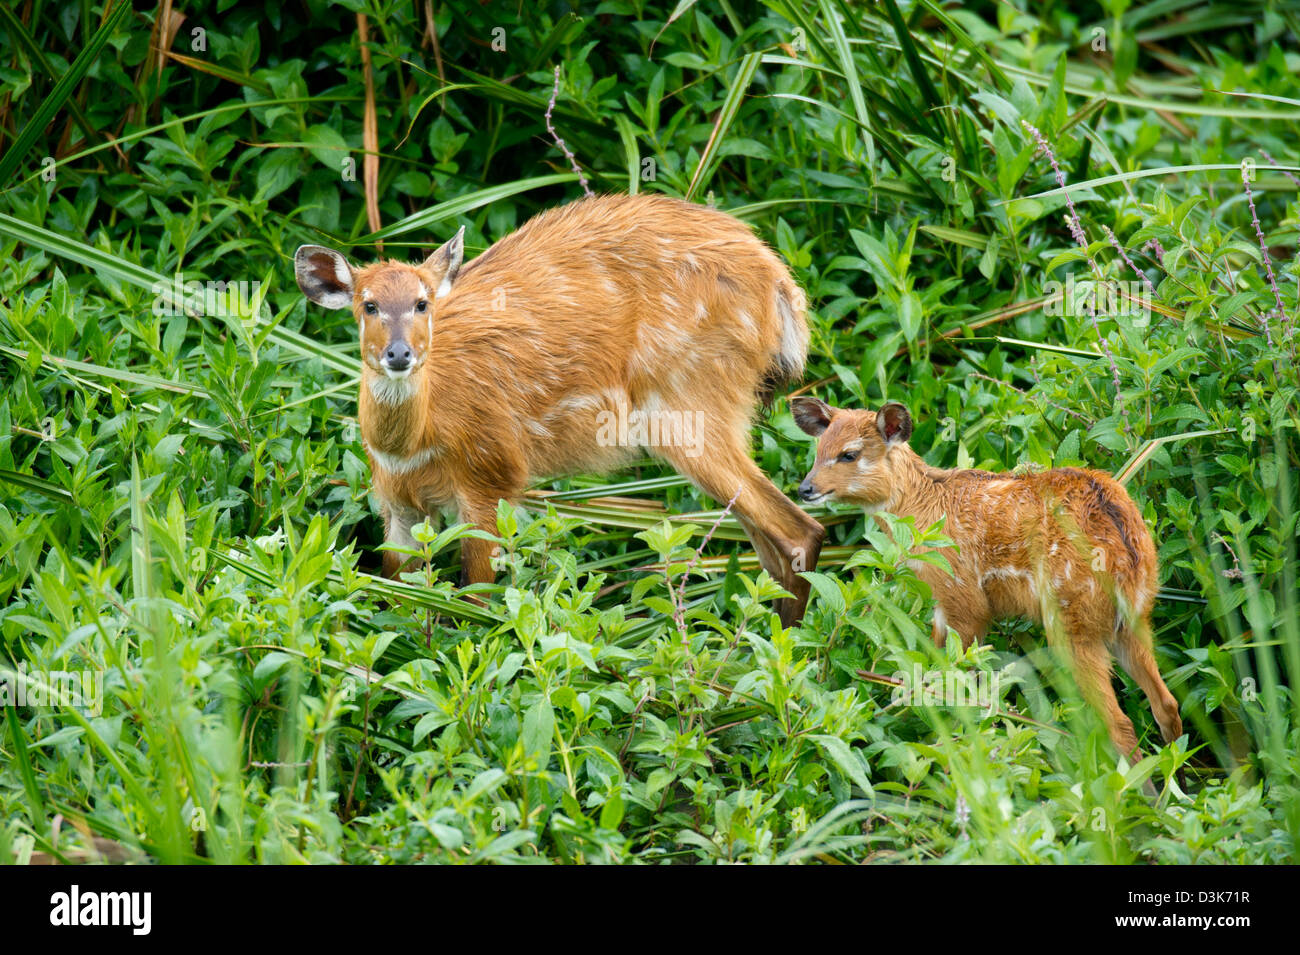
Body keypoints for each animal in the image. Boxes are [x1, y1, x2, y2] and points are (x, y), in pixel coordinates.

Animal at [293, 194, 821, 628]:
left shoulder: (490, 477)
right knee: (770, 544)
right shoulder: (396, 503)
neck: (418, 439)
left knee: (800, 531)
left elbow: (477, 600)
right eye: (368, 305)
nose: (399, 354)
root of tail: (781, 284)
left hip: (689, 401)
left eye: (423, 304)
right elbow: (396, 595)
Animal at [785, 394, 1185, 764]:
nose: (805, 489)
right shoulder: (943, 606)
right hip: (1134, 617)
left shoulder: (961, 596)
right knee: (1167, 705)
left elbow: (950, 676)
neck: (925, 506)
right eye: (819, 449)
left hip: (1071, 619)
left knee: (1119, 723)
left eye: (849, 454)